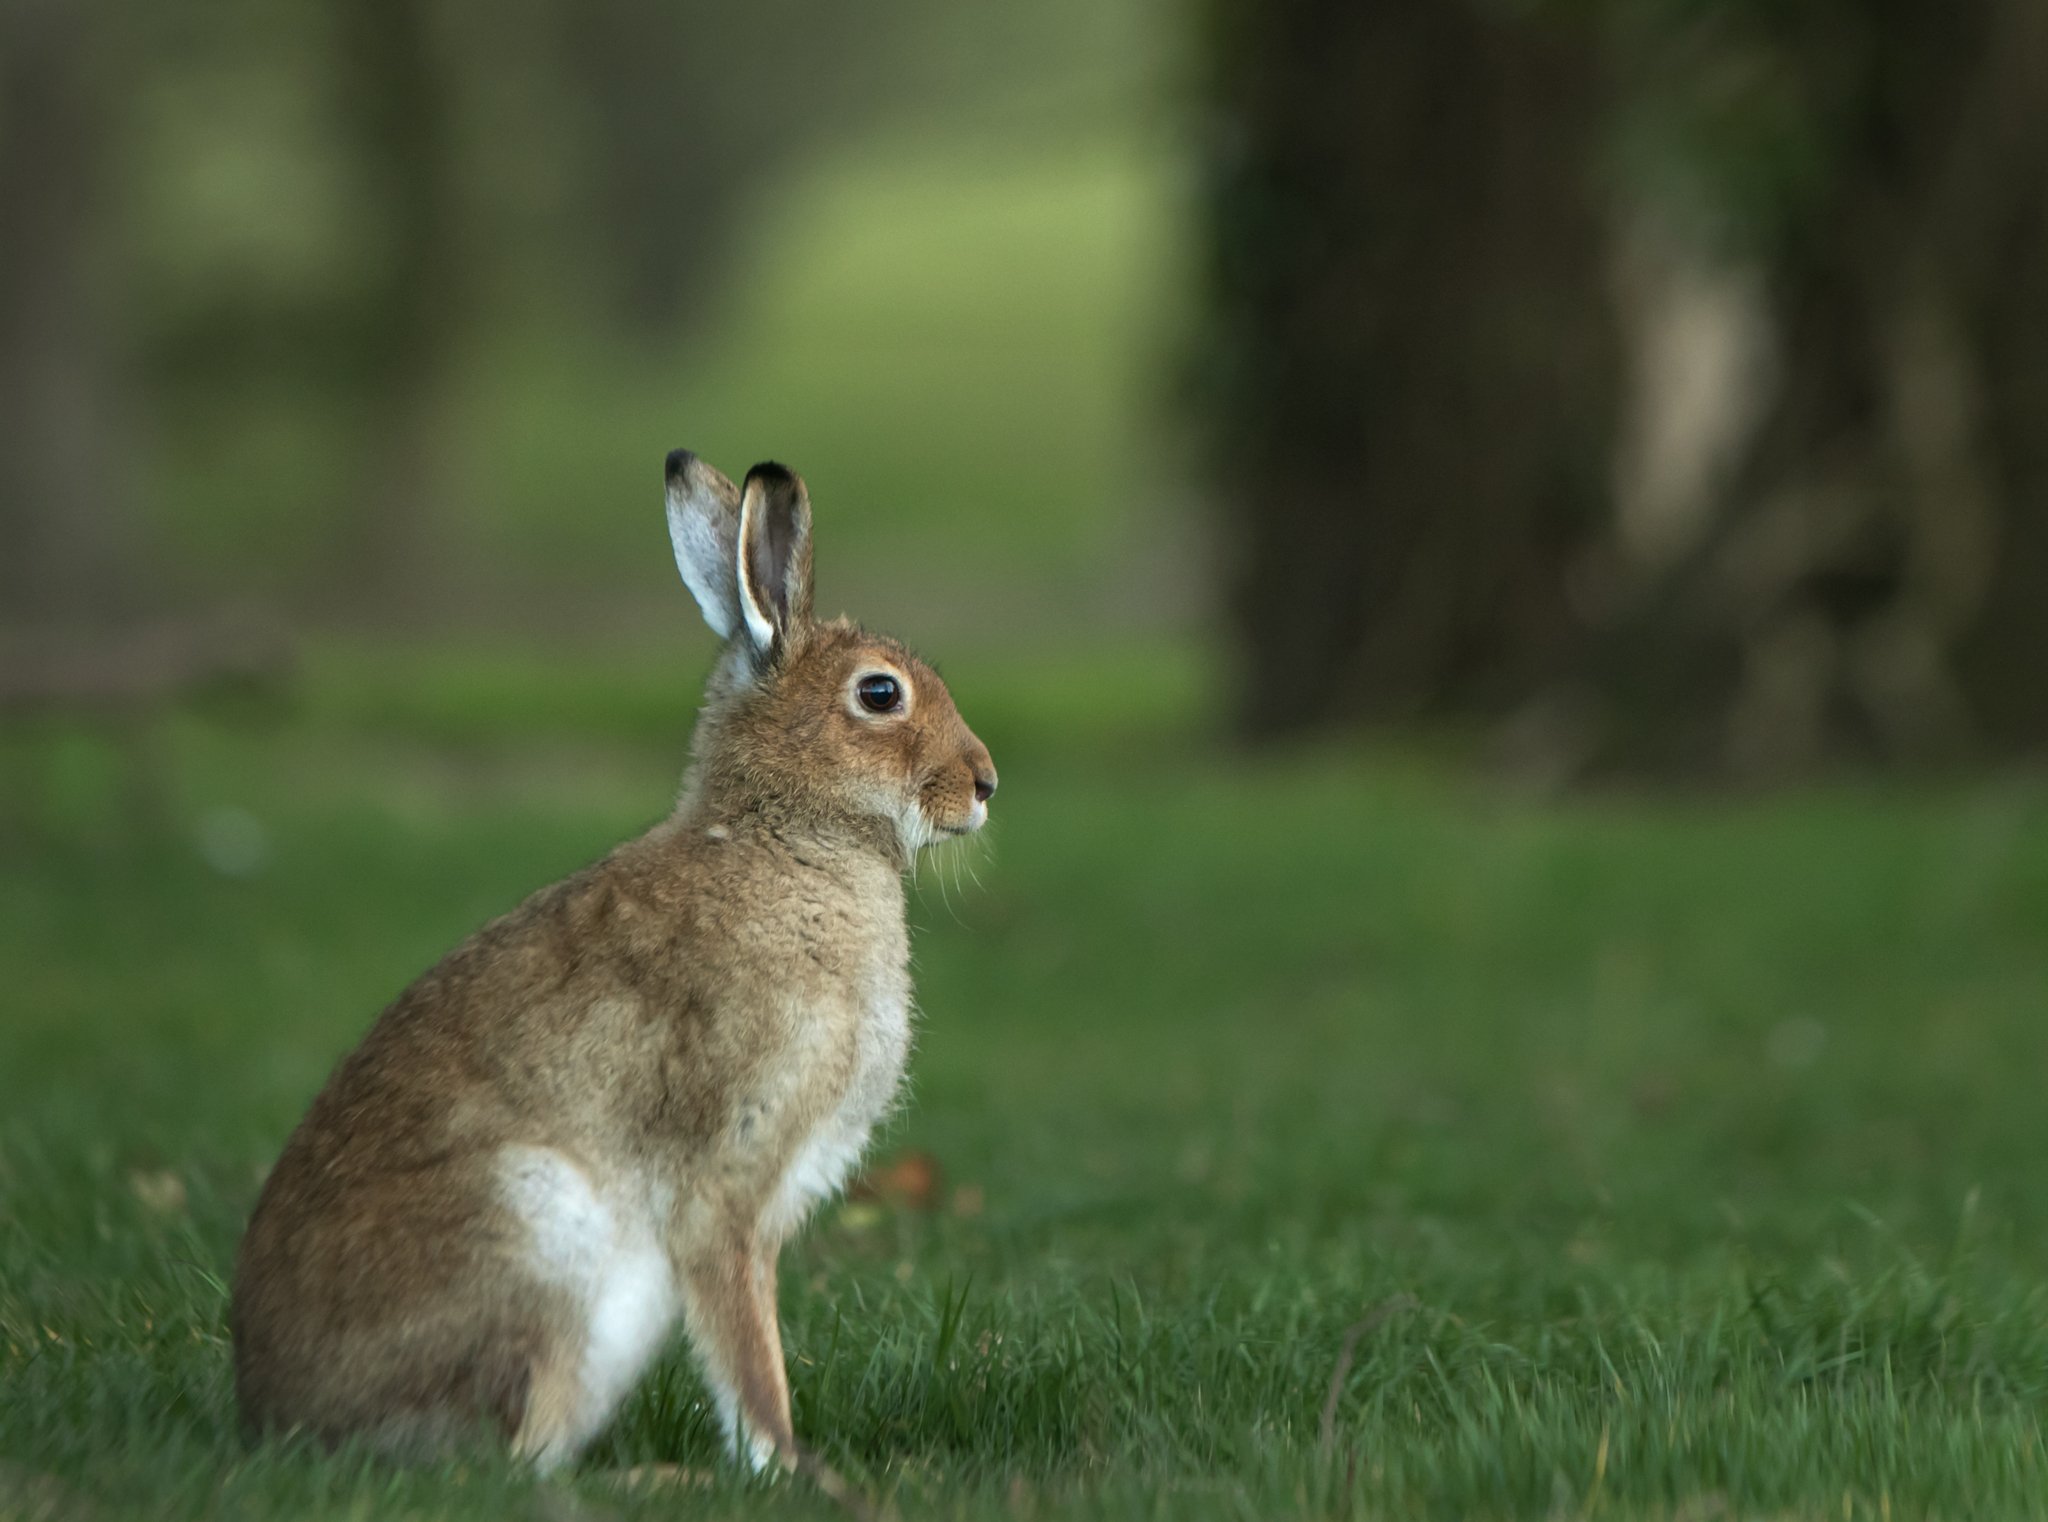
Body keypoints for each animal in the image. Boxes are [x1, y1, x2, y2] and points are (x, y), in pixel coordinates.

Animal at [230, 451, 997, 1498]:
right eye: (879, 696)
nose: (986, 784)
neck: (783, 834)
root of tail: (279, 1420)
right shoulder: (726, 1181)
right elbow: (745, 1348)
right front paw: (792, 1471)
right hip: (542, 1239)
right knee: (514, 1464)